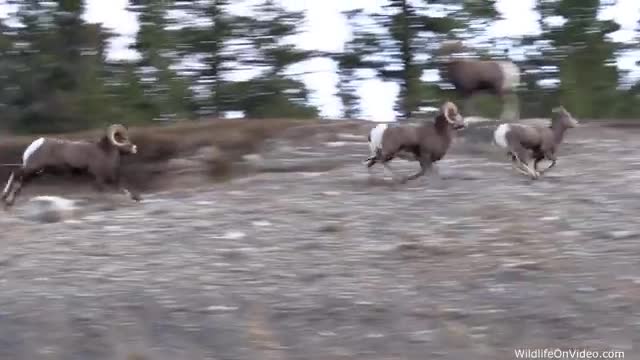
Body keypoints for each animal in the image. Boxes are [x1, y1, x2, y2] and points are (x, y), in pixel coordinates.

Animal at [1, 124, 141, 207]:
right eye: (123, 139)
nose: (135, 148)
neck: (104, 152)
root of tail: (36, 143)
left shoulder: (111, 179)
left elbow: (124, 190)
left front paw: (137, 198)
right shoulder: (100, 179)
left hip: (36, 173)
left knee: (21, 182)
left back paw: (9, 201)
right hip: (32, 168)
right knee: (15, 174)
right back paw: (5, 197)